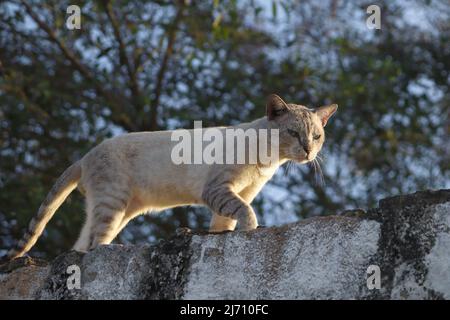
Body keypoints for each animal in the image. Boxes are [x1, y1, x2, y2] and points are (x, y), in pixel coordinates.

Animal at [6, 94, 338, 260]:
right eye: (292, 133)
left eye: (317, 136)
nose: (308, 151)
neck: (268, 160)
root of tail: (84, 157)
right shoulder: (219, 189)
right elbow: (245, 212)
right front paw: (251, 230)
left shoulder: (243, 191)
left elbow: (223, 224)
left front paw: (227, 236)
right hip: (113, 204)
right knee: (94, 246)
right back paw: (110, 250)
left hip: (121, 210)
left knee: (81, 245)